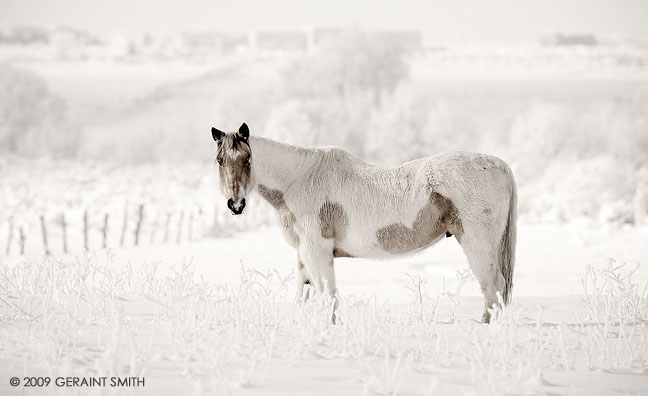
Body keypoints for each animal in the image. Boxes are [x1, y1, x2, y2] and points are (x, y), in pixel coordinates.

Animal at [211, 122, 516, 324]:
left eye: (247, 159)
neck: (299, 180)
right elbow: (304, 293)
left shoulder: (317, 252)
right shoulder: (303, 253)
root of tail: (499, 164)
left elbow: (327, 295)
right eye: (220, 160)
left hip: (478, 245)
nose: (235, 204)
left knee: (493, 288)